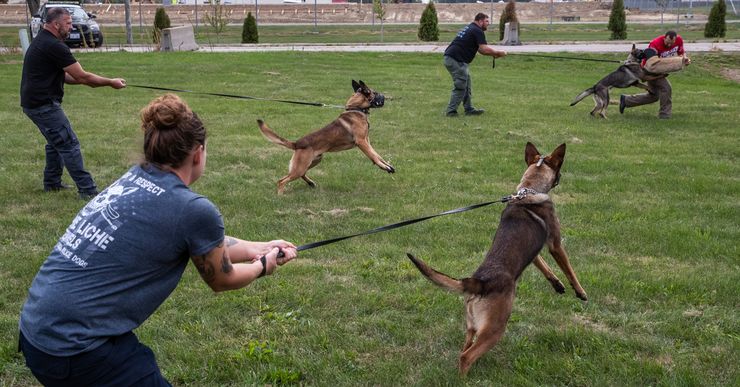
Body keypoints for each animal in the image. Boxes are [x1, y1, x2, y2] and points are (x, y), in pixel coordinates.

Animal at [258, 79, 396, 194]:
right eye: (375, 92)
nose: (384, 96)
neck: (356, 108)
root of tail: (297, 143)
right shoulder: (362, 142)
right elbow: (373, 156)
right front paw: (384, 167)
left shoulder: (367, 141)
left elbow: (377, 154)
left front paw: (388, 165)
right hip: (301, 166)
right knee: (281, 180)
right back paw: (280, 196)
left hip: (314, 161)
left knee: (300, 174)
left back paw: (310, 183)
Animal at [408, 142, 588, 376]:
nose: (562, 176)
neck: (529, 190)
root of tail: (478, 282)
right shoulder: (555, 245)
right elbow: (569, 269)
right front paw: (580, 292)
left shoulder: (535, 253)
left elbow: (544, 266)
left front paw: (557, 284)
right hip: (496, 327)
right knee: (466, 356)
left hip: (472, 326)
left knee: (464, 349)